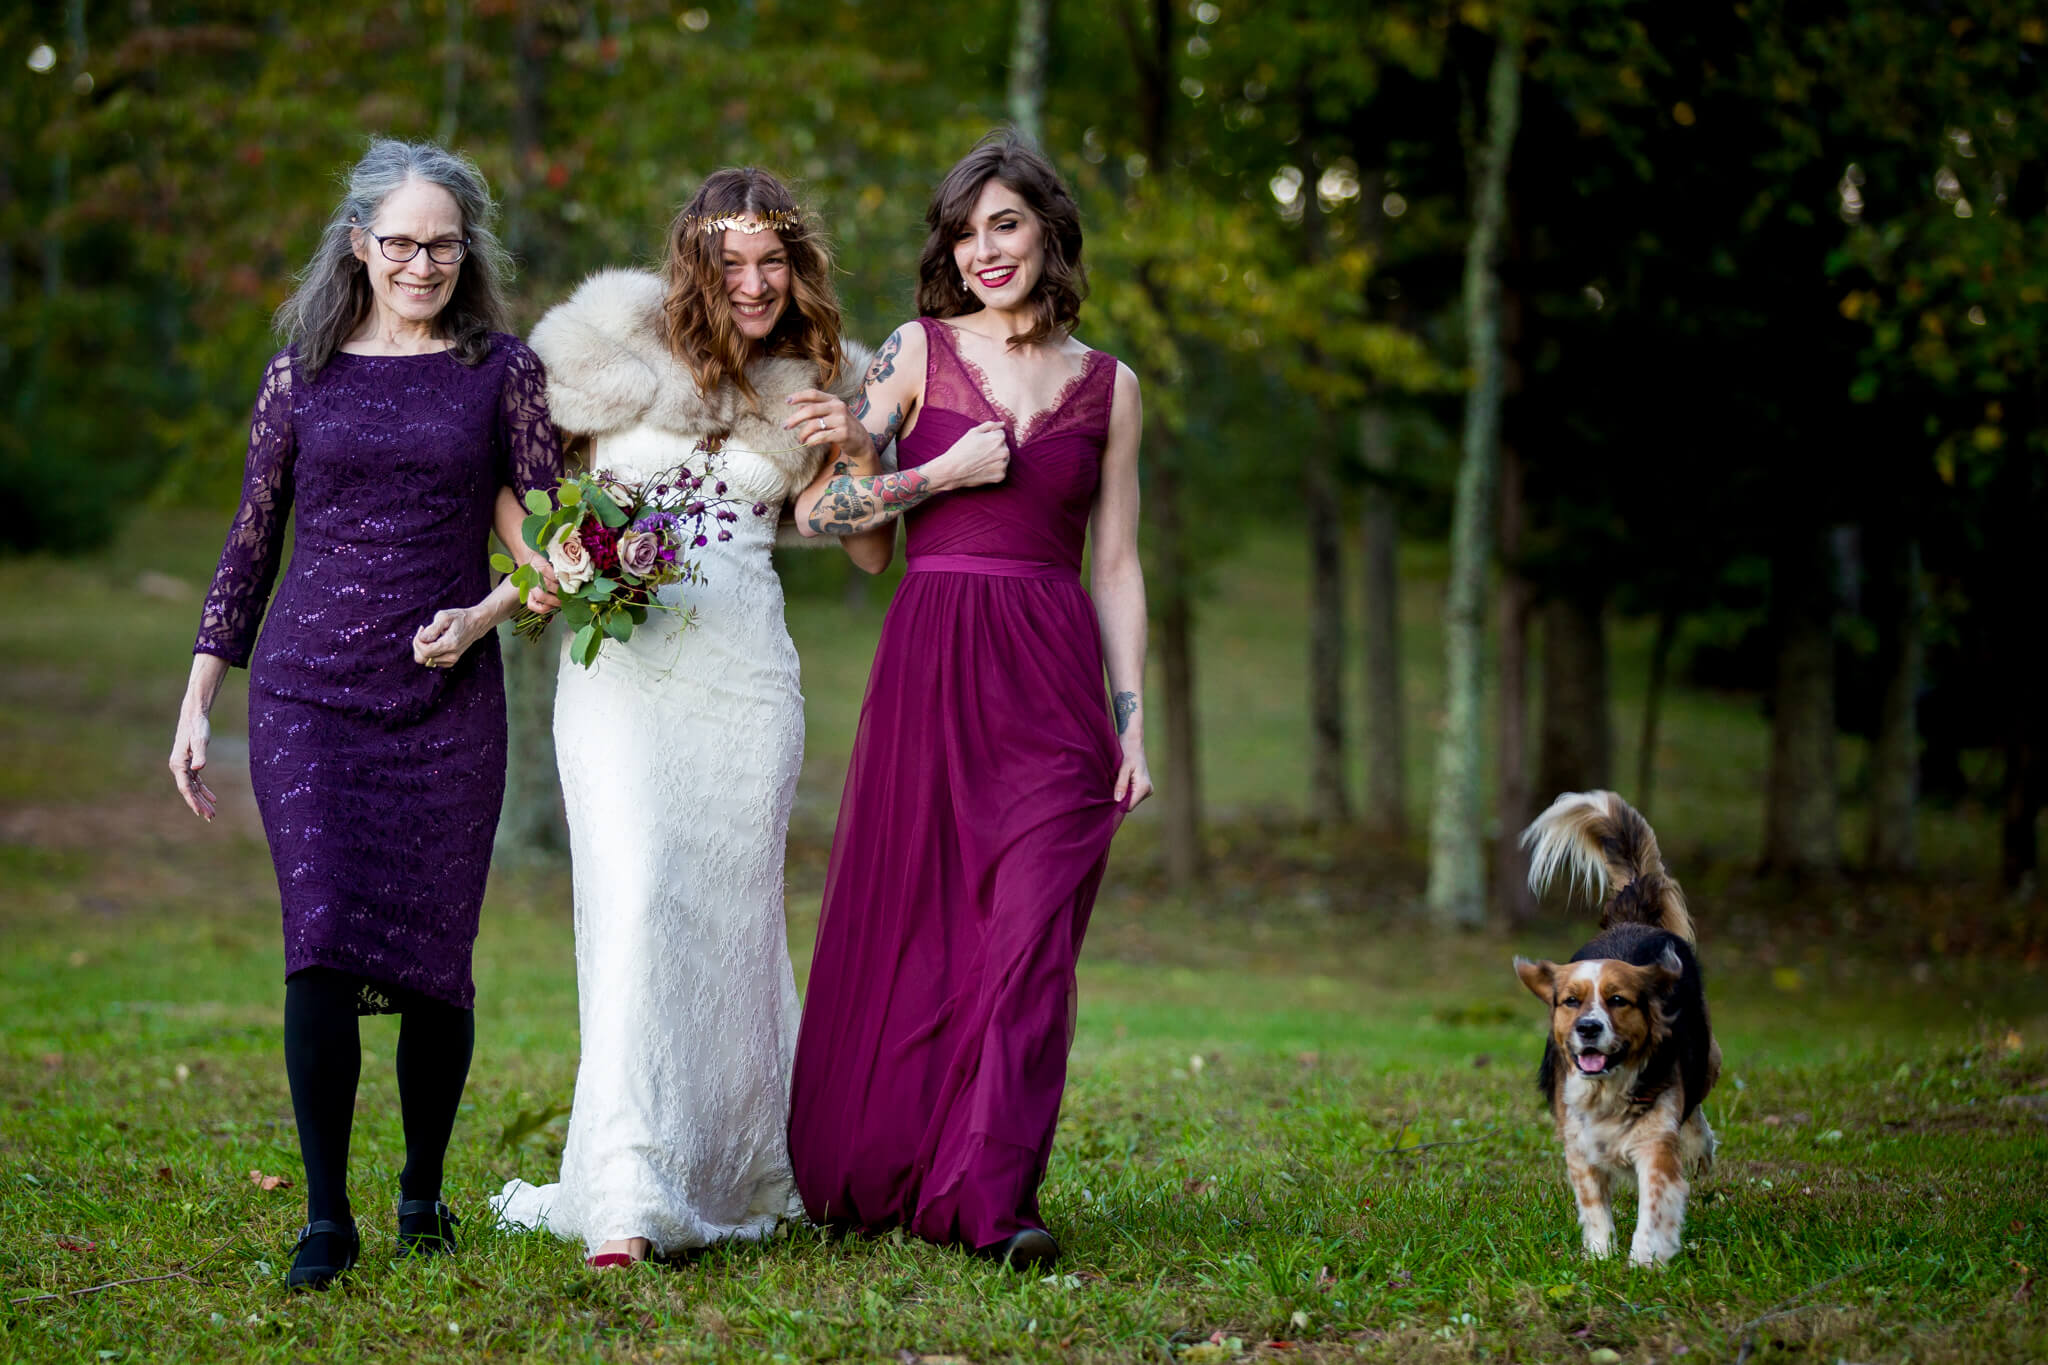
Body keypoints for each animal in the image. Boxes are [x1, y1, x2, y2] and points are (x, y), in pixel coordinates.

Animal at [1515, 794, 1720, 1268]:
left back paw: (1700, 1146)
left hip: (1708, 1059)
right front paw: (1599, 1255)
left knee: (1697, 1108)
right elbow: (1593, 1205)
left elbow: (1655, 1204)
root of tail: (1633, 919)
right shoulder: (1579, 1146)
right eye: (1571, 1001)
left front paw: (1644, 1262)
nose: (1589, 1028)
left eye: (1618, 1000)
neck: (1606, 1089)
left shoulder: (1655, 1145)